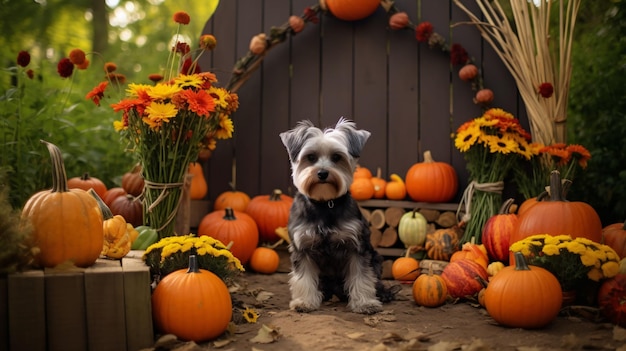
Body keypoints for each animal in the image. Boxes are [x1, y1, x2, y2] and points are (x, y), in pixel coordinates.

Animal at [280, 118, 394, 316]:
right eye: (311, 157)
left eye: (336, 157)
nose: (322, 173)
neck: (325, 204)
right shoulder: (302, 247)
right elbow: (303, 277)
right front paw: (304, 301)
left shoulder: (357, 246)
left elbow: (361, 276)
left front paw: (365, 303)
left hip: (376, 258)